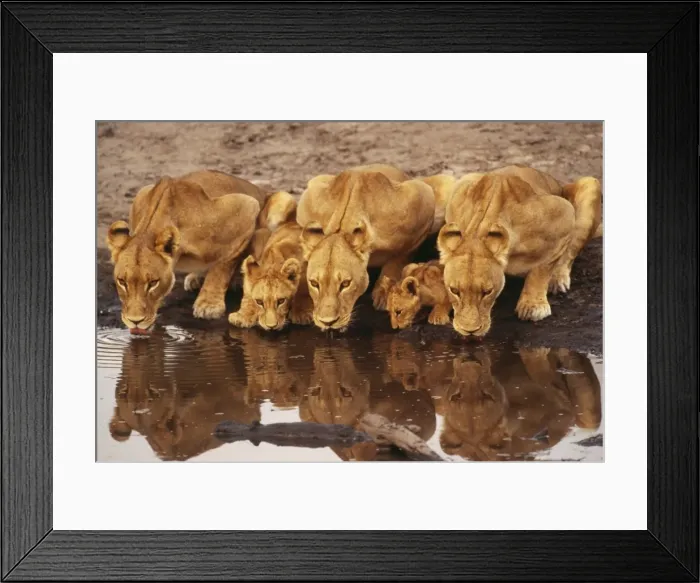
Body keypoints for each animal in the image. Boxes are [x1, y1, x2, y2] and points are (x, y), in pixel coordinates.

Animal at [106, 170, 265, 333]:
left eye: (153, 283)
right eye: (122, 281)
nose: (135, 321)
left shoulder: (246, 207)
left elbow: (223, 264)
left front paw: (209, 304)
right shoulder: (141, 194)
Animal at [297, 164, 436, 331]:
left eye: (345, 284)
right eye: (314, 283)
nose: (327, 321)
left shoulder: (422, 199)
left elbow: (398, 258)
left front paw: (384, 293)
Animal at [437, 165, 602, 337]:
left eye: (487, 292)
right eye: (454, 290)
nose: (469, 331)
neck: (480, 228)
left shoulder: (563, 213)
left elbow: (543, 265)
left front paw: (533, 306)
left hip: (591, 183)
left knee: (571, 249)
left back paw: (557, 280)